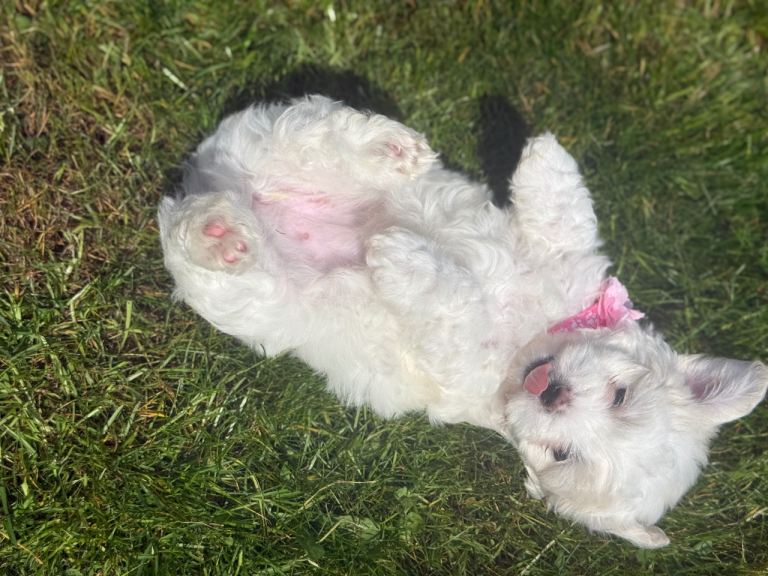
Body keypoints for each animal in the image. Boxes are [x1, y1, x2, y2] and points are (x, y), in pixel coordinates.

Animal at [158, 95, 767, 547]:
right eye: (621, 397)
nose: (554, 396)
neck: (527, 343)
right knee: (308, 135)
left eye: (563, 455)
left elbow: (455, 307)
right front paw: (547, 156)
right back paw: (387, 149)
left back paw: (220, 234)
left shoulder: (458, 363)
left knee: (217, 253)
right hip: (261, 145)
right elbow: (566, 224)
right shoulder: (568, 268)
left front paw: (400, 258)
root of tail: (215, 187)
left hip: (259, 301)